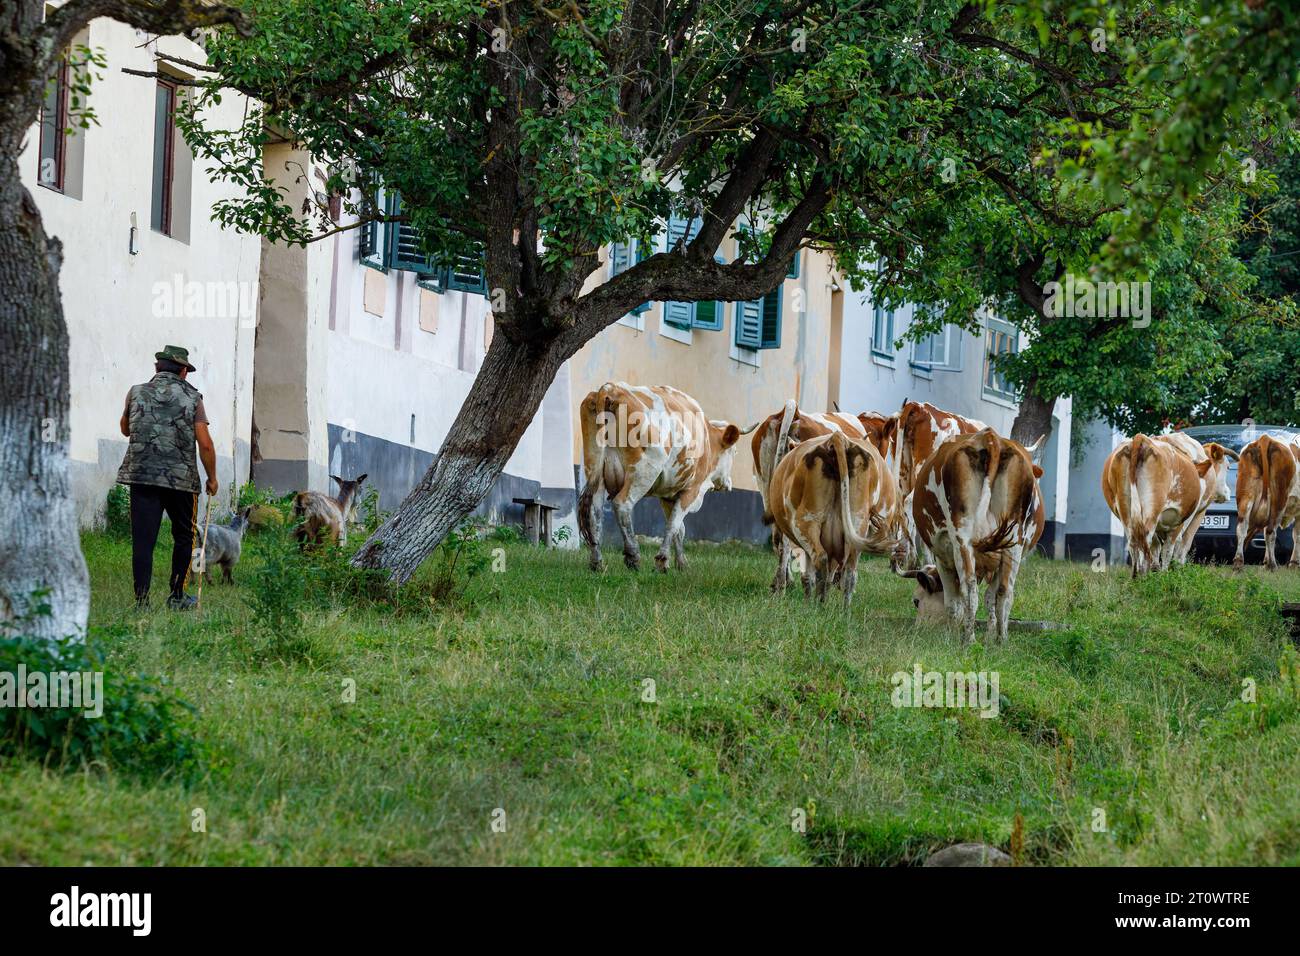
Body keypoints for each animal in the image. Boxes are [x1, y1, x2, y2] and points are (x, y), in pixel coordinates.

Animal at [579, 382, 754, 574]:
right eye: (734, 451)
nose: (729, 483)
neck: (706, 438)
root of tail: (610, 388)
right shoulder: (691, 490)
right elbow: (674, 524)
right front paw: (662, 561)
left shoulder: (668, 495)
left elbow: (679, 529)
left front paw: (681, 563)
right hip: (644, 471)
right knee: (622, 505)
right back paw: (633, 556)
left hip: (594, 471)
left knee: (594, 514)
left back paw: (597, 562)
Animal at [759, 431, 904, 606]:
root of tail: (837, 437)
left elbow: (804, 573)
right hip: (857, 524)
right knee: (849, 572)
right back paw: (842, 608)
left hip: (806, 521)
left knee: (820, 559)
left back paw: (816, 605)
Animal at [899, 431, 1040, 642]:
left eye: (916, 601)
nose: (917, 629)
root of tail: (990, 438)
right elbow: (991, 597)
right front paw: (990, 636)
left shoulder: (943, 557)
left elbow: (953, 603)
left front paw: (952, 633)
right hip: (1013, 542)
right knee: (1005, 592)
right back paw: (1001, 640)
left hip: (963, 540)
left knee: (969, 589)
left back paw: (969, 640)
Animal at [1097, 434, 1216, 574]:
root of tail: (1141, 438)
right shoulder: (1179, 521)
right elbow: (1169, 549)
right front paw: (1165, 573)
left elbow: (1157, 547)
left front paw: (1156, 570)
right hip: (1153, 509)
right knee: (1146, 539)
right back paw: (1144, 574)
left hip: (1125, 509)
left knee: (1134, 541)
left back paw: (1136, 575)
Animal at [1227, 437, 1300, 572]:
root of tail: (1266, 439)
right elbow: (1297, 536)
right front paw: (1293, 564)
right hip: (1279, 500)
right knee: (1271, 531)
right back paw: (1273, 565)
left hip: (1246, 496)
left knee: (1242, 528)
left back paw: (1239, 562)